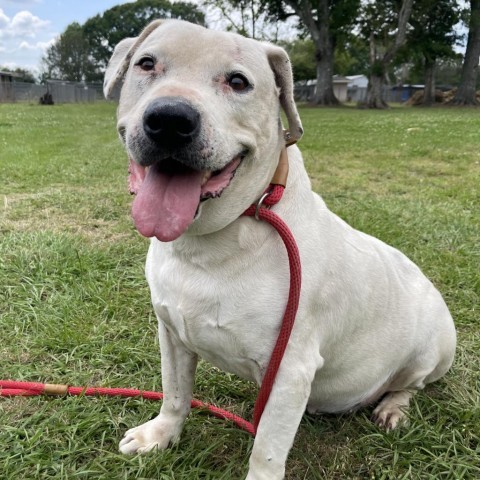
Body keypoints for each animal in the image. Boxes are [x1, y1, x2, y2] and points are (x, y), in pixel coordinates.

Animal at [103, 19, 456, 480]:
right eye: (146, 63)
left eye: (238, 82)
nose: (169, 119)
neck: (212, 242)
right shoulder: (172, 335)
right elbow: (175, 393)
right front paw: (160, 435)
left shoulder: (289, 371)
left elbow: (267, 449)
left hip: (433, 348)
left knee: (409, 385)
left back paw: (392, 408)